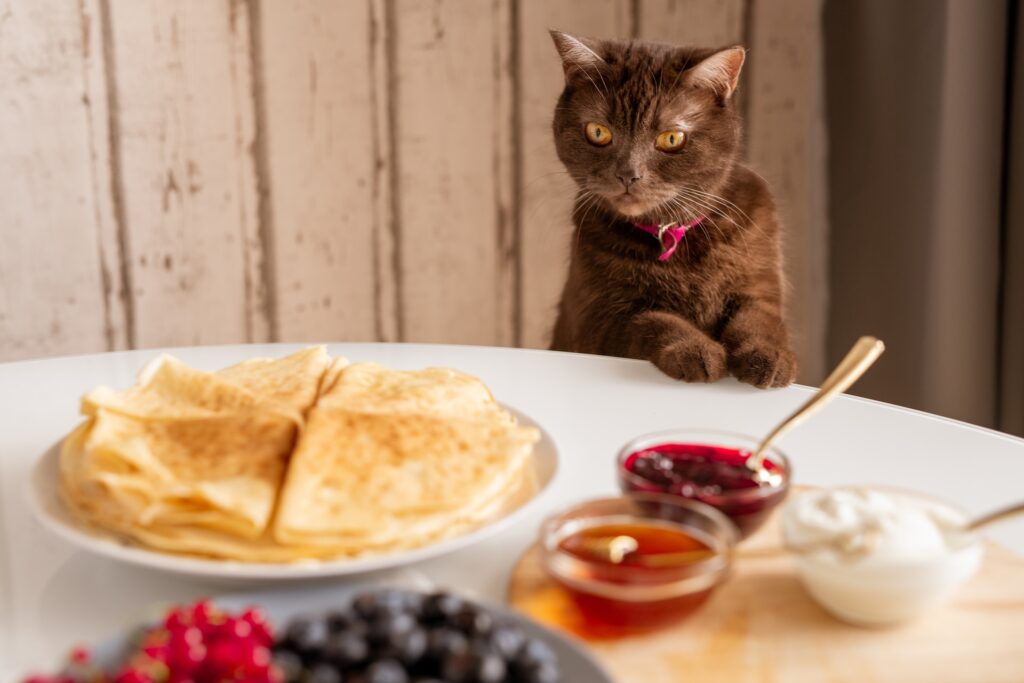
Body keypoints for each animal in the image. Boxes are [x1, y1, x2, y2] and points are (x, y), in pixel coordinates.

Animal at [548, 31, 794, 387]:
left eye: (672, 139)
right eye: (598, 132)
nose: (628, 174)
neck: (674, 235)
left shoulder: (760, 285)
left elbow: (759, 319)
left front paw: (768, 357)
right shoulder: (598, 320)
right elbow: (653, 319)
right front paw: (695, 350)